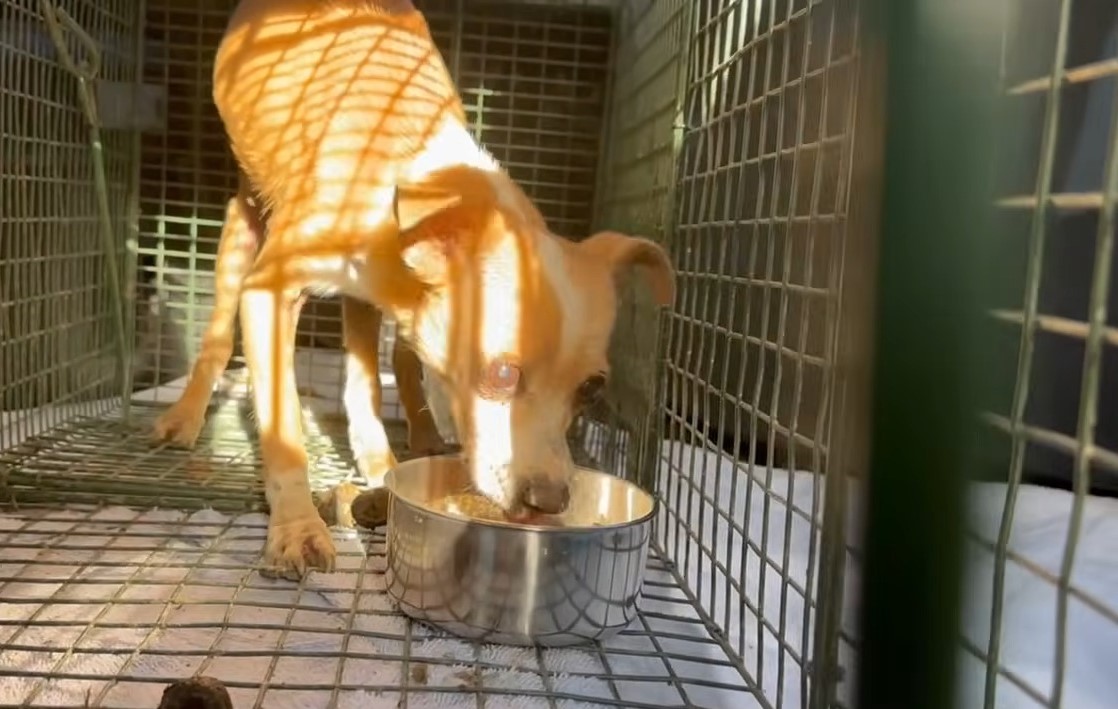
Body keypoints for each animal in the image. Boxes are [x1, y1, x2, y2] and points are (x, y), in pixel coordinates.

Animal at [153, 0, 675, 572]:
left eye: (592, 388)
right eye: (502, 373)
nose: (549, 500)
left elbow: (376, 381)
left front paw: (382, 465)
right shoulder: (269, 290)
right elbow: (285, 426)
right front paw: (296, 529)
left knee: (380, 370)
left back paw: (404, 444)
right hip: (243, 225)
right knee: (220, 332)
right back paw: (185, 417)